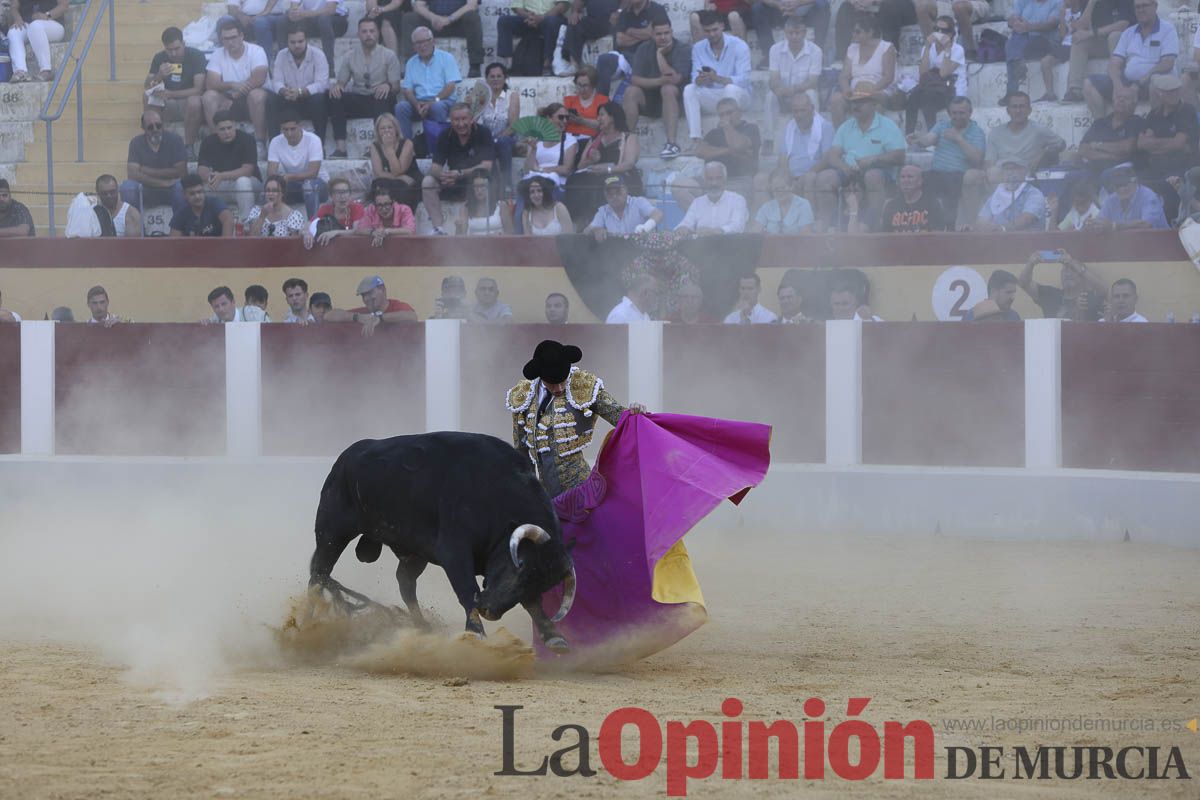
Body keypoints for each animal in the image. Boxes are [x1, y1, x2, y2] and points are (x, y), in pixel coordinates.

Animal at [312, 431, 578, 652]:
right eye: (520, 566)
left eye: (541, 583)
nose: (489, 610)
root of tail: (347, 455)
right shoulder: (454, 551)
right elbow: (467, 589)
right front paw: (475, 633)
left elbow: (533, 605)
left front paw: (554, 637)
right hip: (331, 530)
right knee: (318, 571)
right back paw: (309, 619)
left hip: (414, 553)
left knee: (405, 582)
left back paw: (421, 627)